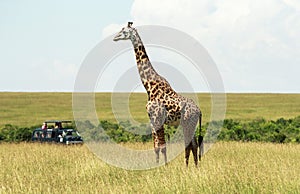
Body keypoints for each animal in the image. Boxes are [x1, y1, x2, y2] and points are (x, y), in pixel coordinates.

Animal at [113, 22, 204, 166]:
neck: (149, 86)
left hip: (188, 124)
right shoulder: (152, 120)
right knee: (193, 145)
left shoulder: (158, 118)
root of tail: (199, 111)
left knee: (190, 145)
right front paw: (157, 166)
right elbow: (156, 147)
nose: (115, 37)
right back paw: (193, 167)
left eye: (124, 30)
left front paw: (165, 166)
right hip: (191, 125)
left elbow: (162, 146)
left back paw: (188, 167)